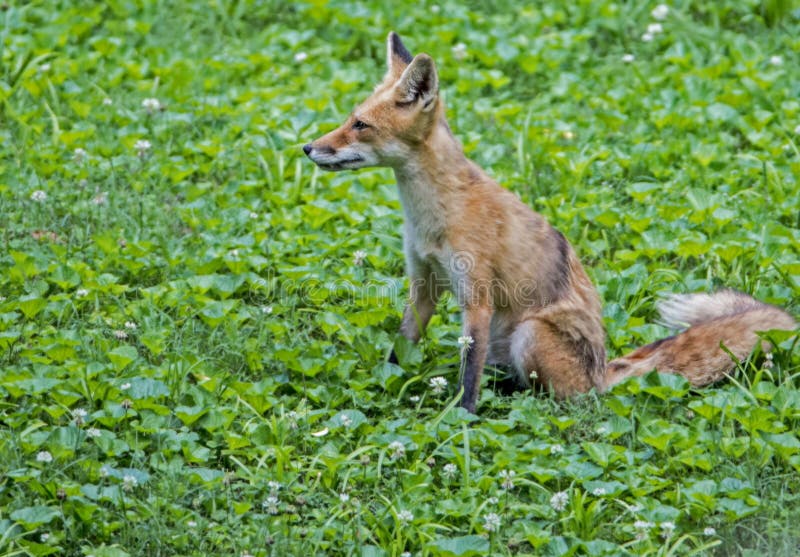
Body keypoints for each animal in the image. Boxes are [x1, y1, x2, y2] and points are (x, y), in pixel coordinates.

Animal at [304, 31, 796, 412]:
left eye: (360, 125)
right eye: (349, 119)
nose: (308, 148)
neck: (431, 215)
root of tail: (602, 371)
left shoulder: (477, 299)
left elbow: (468, 377)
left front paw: (460, 420)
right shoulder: (423, 283)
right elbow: (400, 345)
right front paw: (384, 384)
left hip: (529, 334)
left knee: (568, 401)